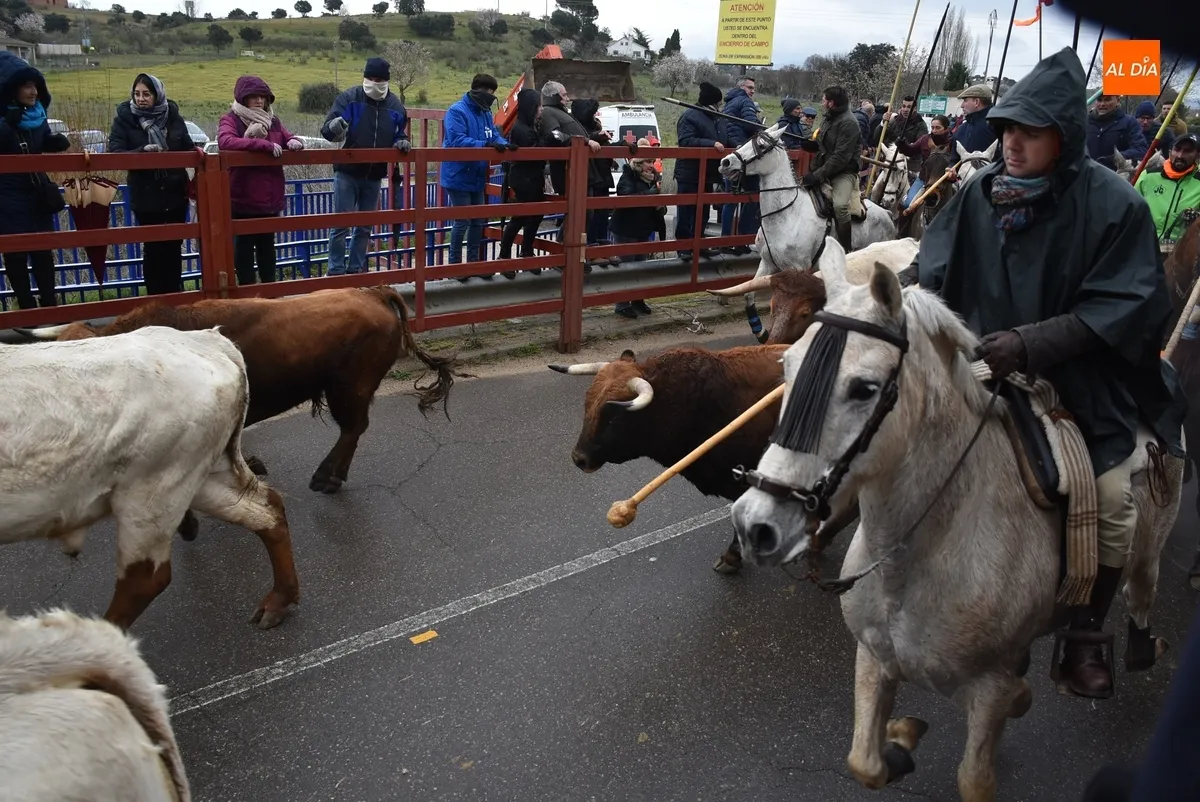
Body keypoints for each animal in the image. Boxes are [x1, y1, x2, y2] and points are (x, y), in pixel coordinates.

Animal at [728, 238, 1183, 802]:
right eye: (788, 368)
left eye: (864, 389)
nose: (755, 525)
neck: (916, 558)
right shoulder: (873, 657)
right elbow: (865, 762)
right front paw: (901, 739)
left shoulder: (986, 688)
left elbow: (975, 776)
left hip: (1146, 545)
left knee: (1139, 594)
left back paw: (1129, 651)